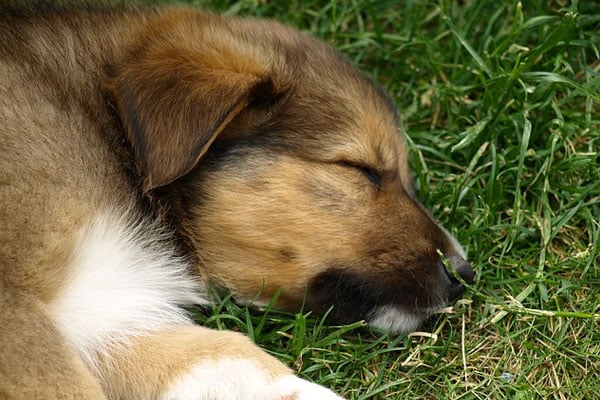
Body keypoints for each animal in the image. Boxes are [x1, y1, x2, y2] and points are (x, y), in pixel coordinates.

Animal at [0, 2, 476, 396]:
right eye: (359, 168)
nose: (464, 274)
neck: (117, 144)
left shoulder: (113, 311)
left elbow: (225, 356)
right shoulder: (19, 309)